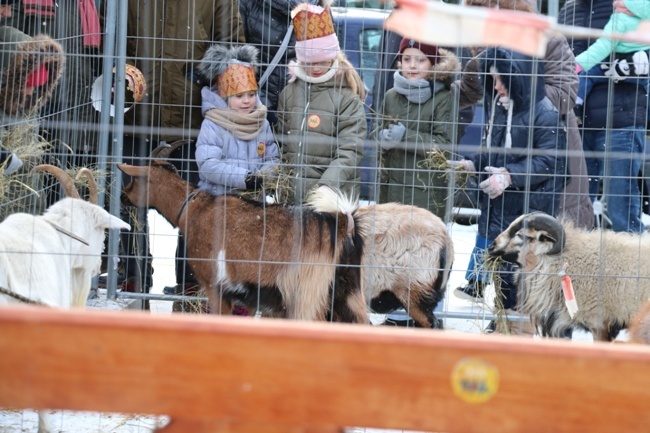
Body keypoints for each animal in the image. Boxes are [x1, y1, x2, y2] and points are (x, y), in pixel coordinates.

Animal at [118, 160, 368, 322]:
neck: (193, 209)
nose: (122, 196)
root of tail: (343, 224)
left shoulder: (215, 285)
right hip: (348, 293)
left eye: (135, 180)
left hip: (308, 294)